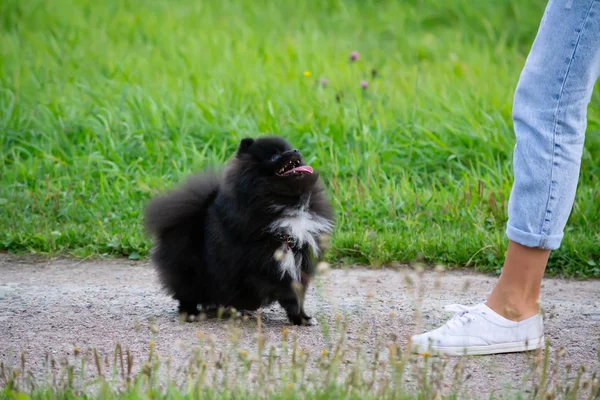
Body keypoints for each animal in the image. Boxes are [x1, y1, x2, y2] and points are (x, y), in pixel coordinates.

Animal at [144, 137, 336, 324]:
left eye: (289, 148)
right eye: (275, 157)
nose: (296, 150)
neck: (287, 202)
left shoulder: (300, 261)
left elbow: (298, 293)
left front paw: (303, 318)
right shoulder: (268, 264)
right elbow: (288, 294)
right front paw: (298, 317)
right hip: (190, 267)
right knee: (187, 294)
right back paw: (192, 314)